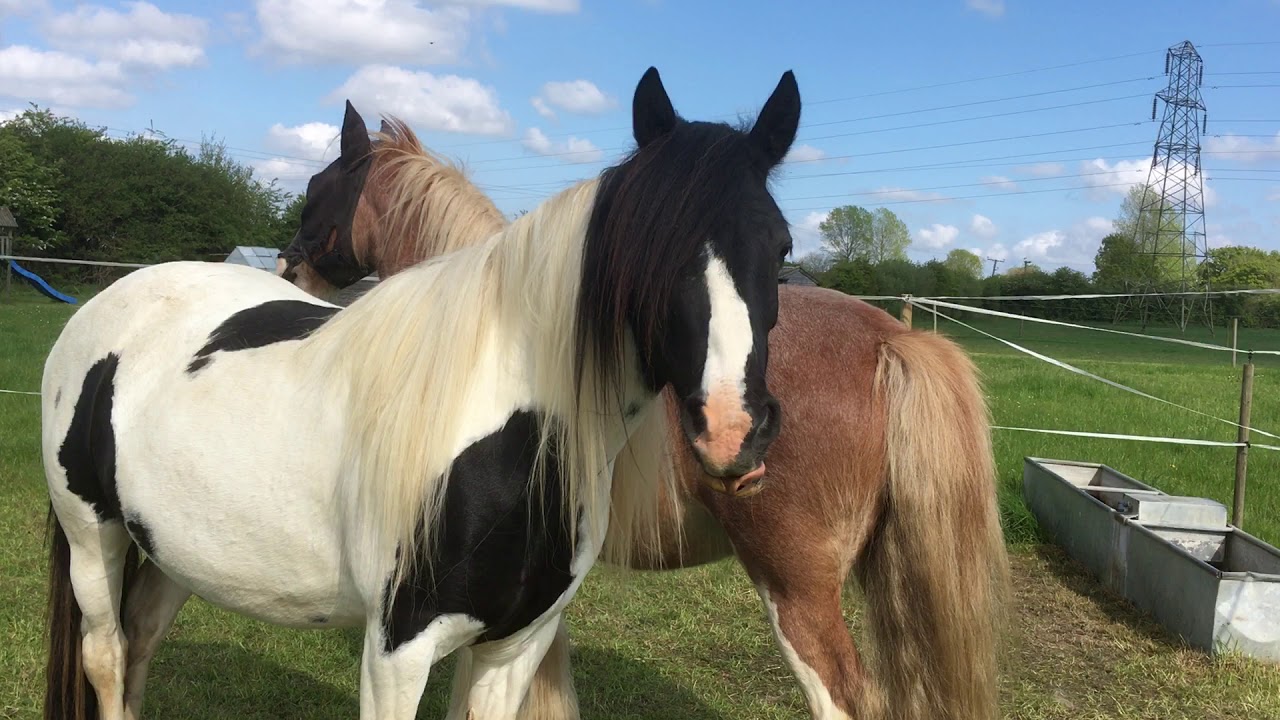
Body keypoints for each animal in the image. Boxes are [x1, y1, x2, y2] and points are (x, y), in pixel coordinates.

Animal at [41, 66, 802, 720]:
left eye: (783, 246)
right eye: (641, 247)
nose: (732, 430)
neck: (511, 432)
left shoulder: (515, 646)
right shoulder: (397, 652)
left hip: (176, 551)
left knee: (140, 644)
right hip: (91, 537)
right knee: (107, 655)